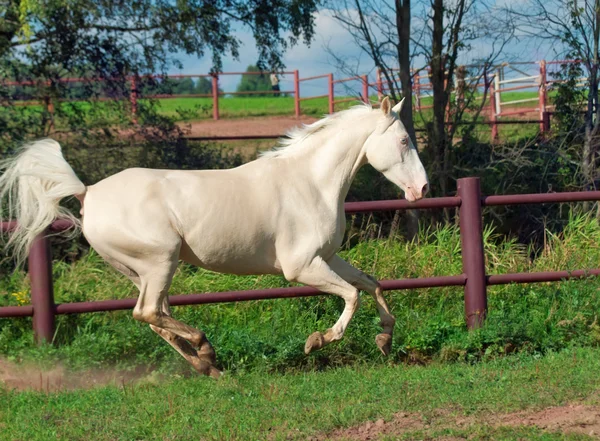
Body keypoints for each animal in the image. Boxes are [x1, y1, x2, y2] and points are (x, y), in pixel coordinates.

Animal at [2, 98, 428, 376]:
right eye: (404, 141)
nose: (422, 188)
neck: (310, 182)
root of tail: (87, 191)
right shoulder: (301, 267)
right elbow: (352, 295)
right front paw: (318, 341)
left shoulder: (327, 257)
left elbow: (371, 284)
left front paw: (385, 339)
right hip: (160, 261)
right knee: (148, 312)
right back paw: (206, 349)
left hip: (142, 272)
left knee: (155, 316)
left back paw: (206, 364)